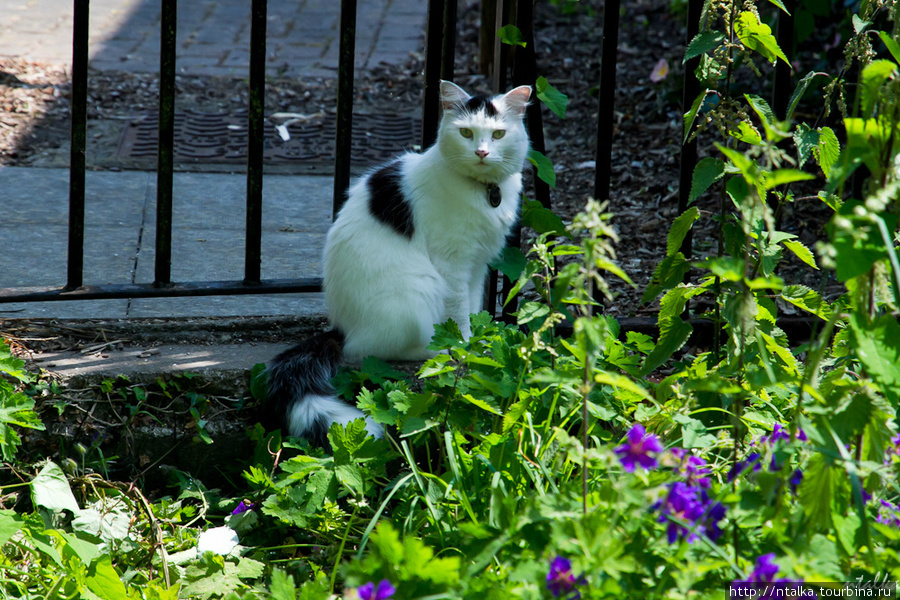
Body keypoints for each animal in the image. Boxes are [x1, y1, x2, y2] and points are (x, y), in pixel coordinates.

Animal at [268, 81, 536, 446]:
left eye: (498, 134)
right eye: (466, 133)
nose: (481, 152)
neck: (486, 193)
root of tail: (340, 327)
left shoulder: (478, 265)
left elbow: (473, 304)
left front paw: (479, 341)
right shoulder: (453, 263)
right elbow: (458, 315)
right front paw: (462, 348)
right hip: (419, 290)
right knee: (371, 350)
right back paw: (432, 352)